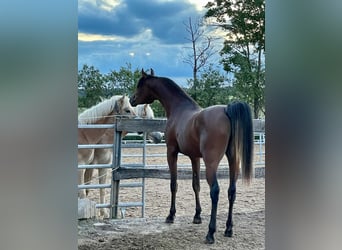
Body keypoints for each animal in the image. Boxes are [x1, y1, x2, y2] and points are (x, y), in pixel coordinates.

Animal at [130, 69, 252, 244]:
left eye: (140, 85)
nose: (132, 99)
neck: (179, 109)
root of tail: (227, 110)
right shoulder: (194, 157)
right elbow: (196, 185)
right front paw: (197, 216)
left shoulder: (171, 152)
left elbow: (173, 184)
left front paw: (171, 215)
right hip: (233, 160)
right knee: (232, 191)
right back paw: (228, 229)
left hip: (211, 163)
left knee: (215, 191)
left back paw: (210, 233)